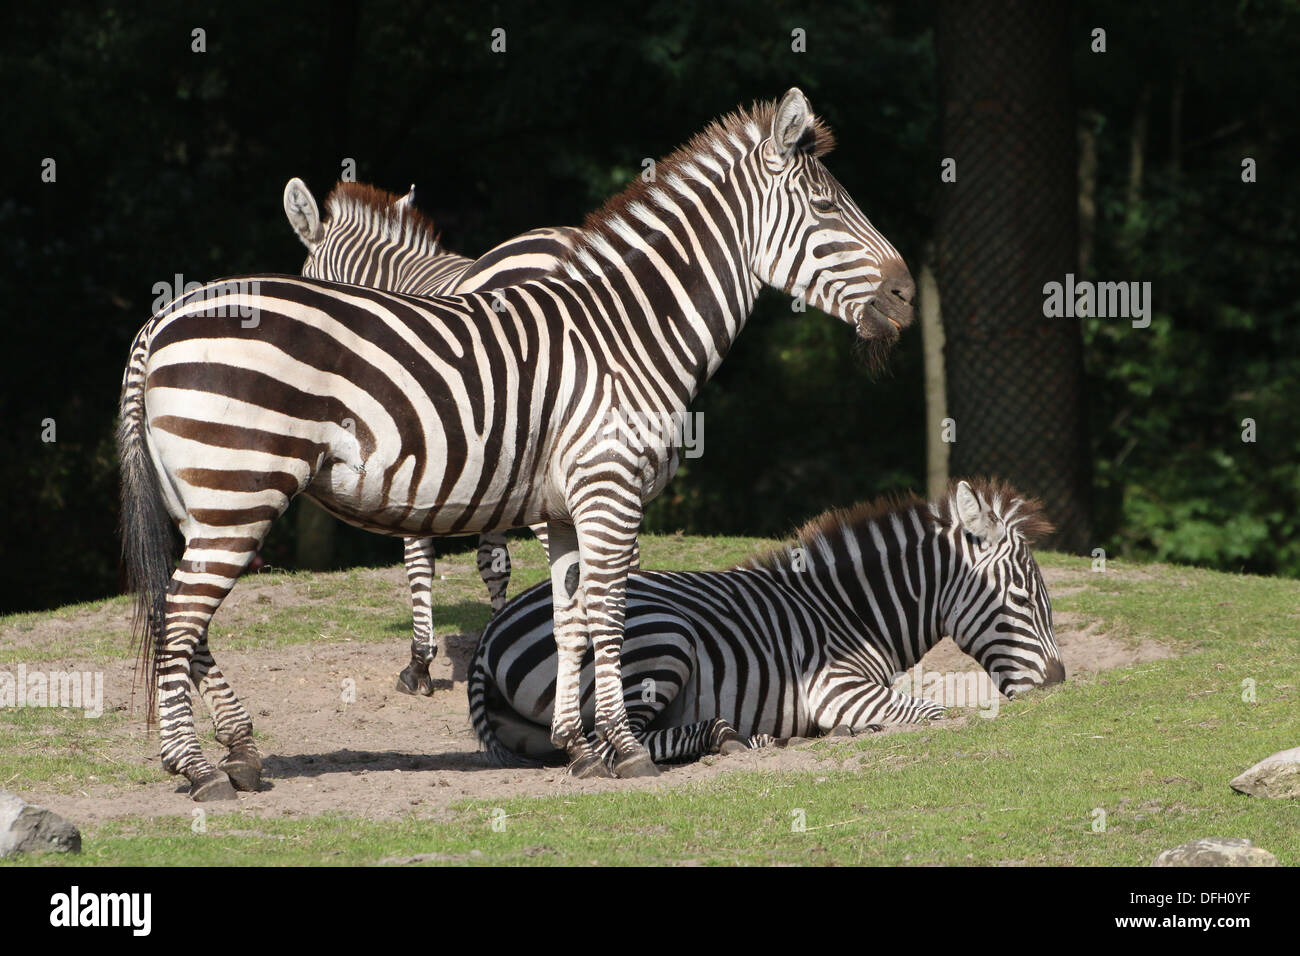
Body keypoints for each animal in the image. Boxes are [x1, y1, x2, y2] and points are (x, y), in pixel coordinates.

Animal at [469, 479, 1066, 766]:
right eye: (1021, 595)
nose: (1060, 686)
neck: (848, 610)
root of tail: (490, 634)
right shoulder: (835, 686)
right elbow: (936, 711)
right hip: (663, 640)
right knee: (619, 739)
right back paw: (728, 736)